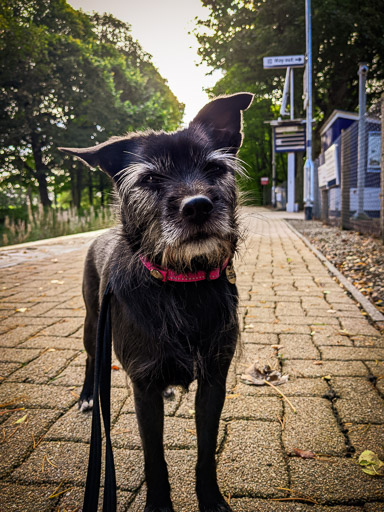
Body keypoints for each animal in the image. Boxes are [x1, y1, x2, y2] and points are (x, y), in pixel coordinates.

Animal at [60, 93, 252, 512]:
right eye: (149, 178)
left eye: (214, 168)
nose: (197, 206)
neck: (183, 284)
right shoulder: (142, 388)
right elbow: (154, 457)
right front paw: (160, 505)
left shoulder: (214, 380)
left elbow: (205, 451)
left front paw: (211, 500)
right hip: (92, 325)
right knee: (90, 359)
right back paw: (87, 397)